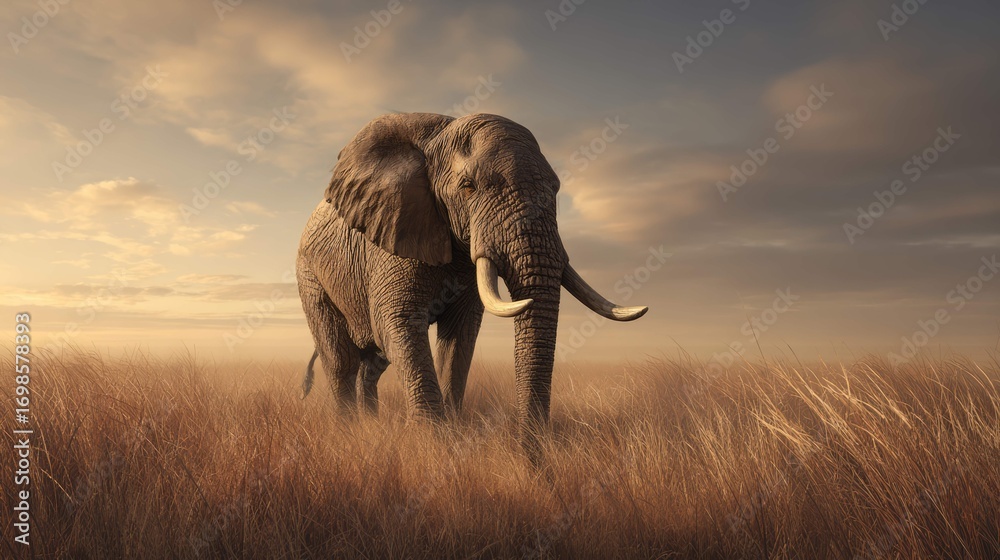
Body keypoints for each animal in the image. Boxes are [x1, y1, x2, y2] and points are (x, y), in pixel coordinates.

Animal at [296, 112, 647, 450]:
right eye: (468, 187)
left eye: (556, 189)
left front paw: (451, 432)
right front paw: (432, 445)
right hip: (310, 276)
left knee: (372, 364)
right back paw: (348, 432)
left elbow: (460, 337)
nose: (530, 453)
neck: (439, 136)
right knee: (341, 360)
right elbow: (397, 322)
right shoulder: (391, 234)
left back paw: (371, 426)